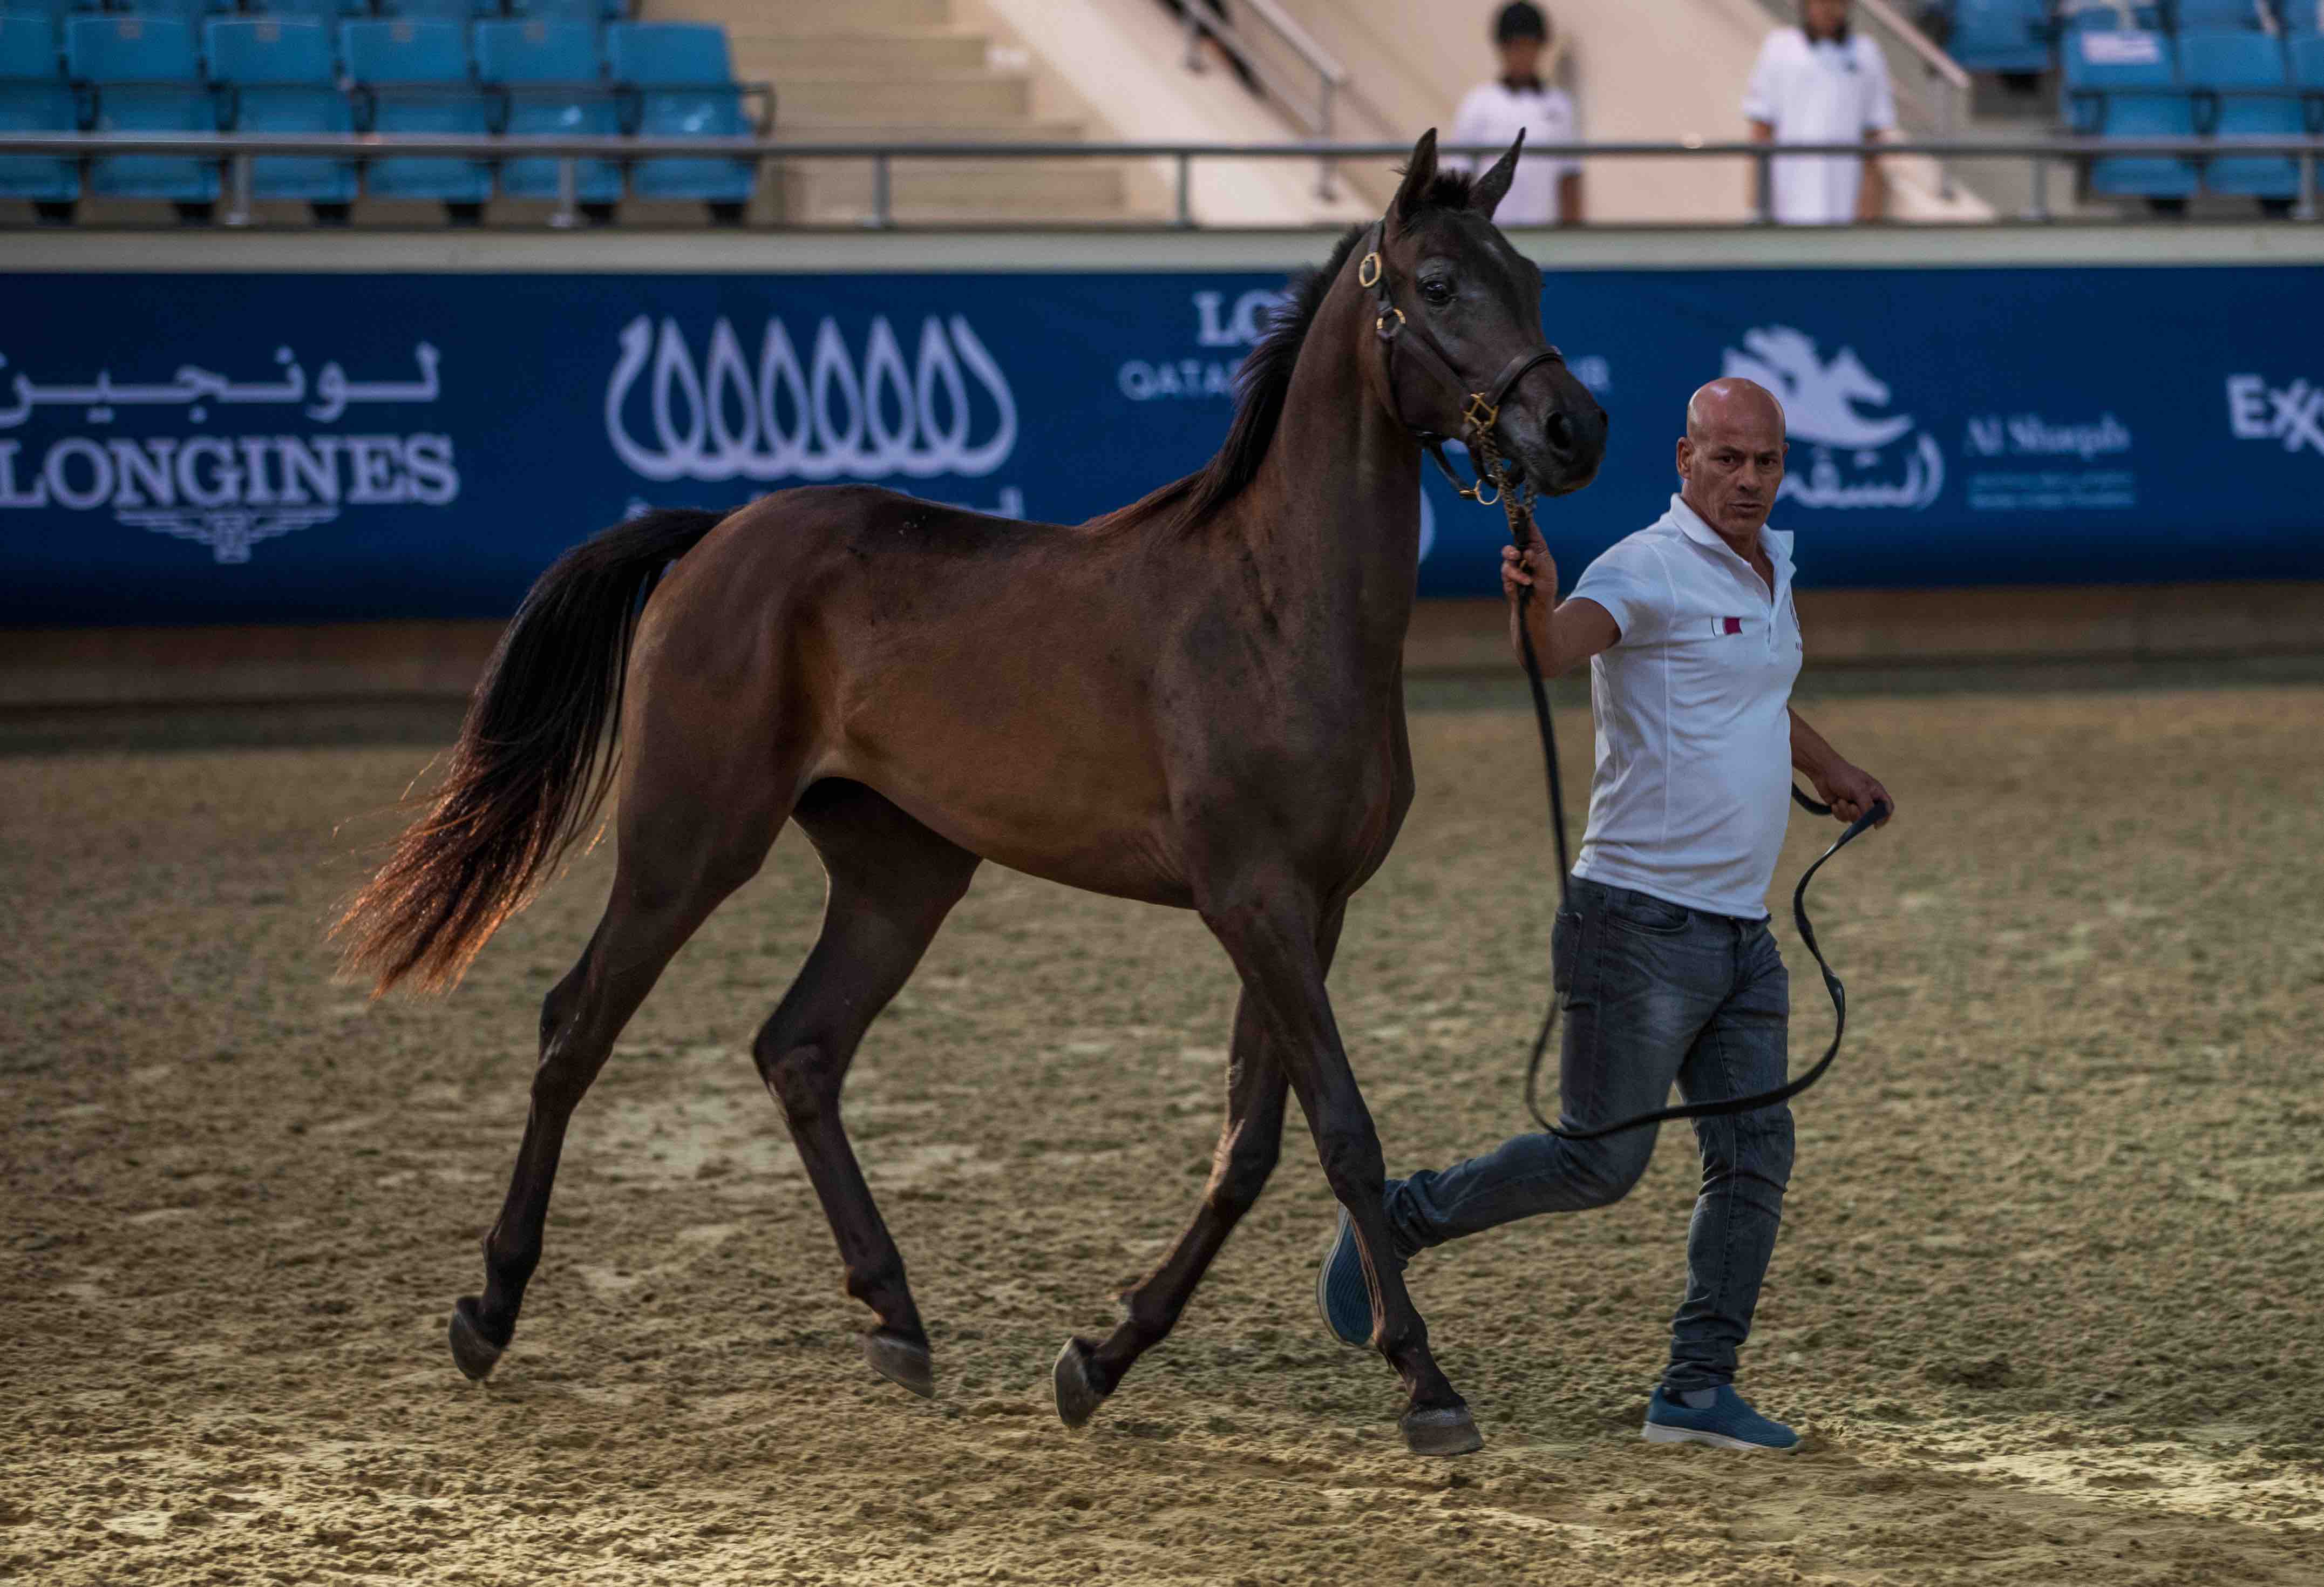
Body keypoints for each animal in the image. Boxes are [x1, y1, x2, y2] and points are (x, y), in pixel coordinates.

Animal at [335, 129, 1608, 1457]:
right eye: (1437, 285)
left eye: (1528, 275)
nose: (1574, 430)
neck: (1273, 608)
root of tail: (717, 535)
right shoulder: (1252, 903)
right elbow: (1343, 1135)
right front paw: (1426, 1383)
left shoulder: (1312, 911)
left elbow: (1249, 1146)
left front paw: (1099, 1358)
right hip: (687, 845)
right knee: (575, 1025)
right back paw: (489, 1309)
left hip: (900, 875)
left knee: (798, 1048)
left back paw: (895, 1318)